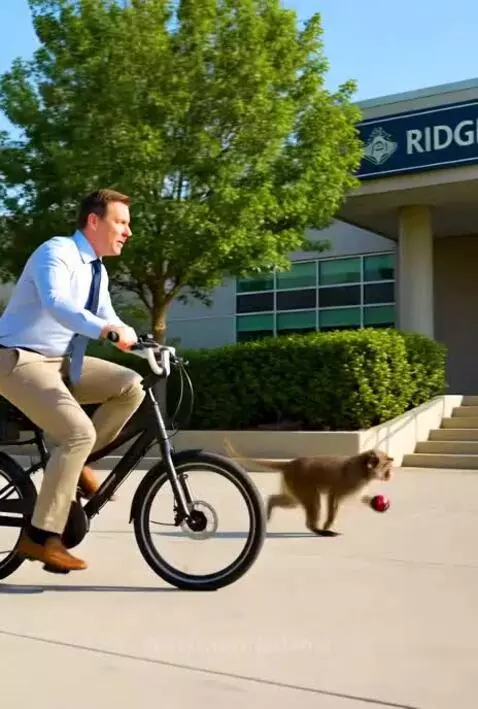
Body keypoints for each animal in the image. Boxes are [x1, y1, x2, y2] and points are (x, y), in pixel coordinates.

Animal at [224, 439, 393, 536]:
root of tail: (290, 464)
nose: (391, 475)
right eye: (387, 467)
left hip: (292, 483)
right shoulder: (351, 481)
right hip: (301, 482)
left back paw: (270, 506)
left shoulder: (359, 484)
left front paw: (376, 502)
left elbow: (361, 497)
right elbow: (333, 496)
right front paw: (327, 524)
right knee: (313, 501)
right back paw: (316, 529)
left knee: (291, 501)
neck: (363, 469)